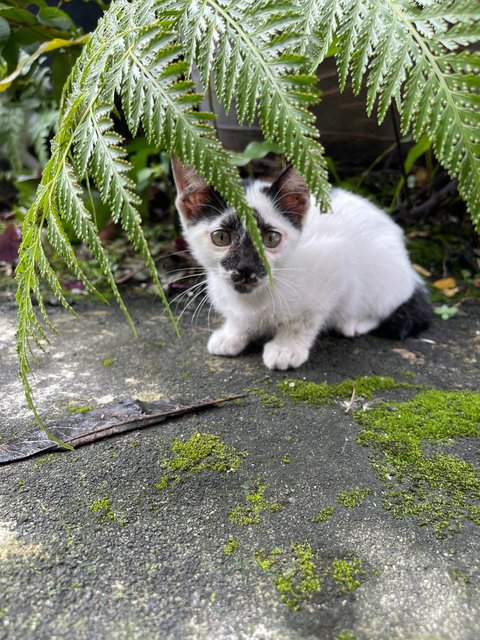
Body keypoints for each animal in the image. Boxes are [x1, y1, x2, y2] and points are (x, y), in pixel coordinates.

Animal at [172, 156, 432, 370]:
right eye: (221, 237)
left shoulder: (336, 265)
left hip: (384, 279)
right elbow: (238, 318)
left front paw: (286, 348)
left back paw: (355, 322)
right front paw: (232, 333)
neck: (256, 298)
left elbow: (305, 318)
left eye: (271, 239)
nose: (245, 268)